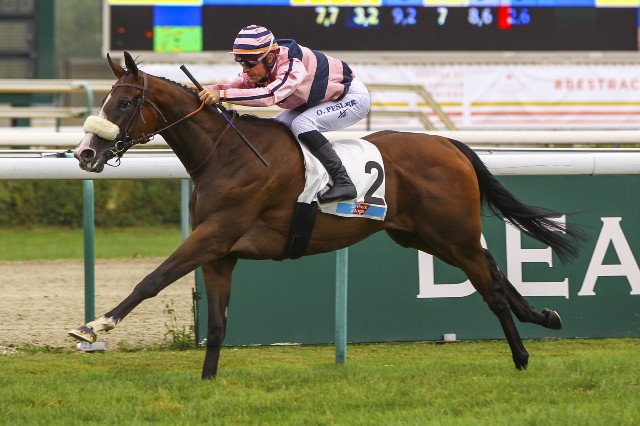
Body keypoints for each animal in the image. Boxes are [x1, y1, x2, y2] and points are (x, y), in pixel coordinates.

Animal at [69, 51, 581, 380]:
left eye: (125, 102)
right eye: (106, 100)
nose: (85, 153)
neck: (226, 154)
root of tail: (448, 144)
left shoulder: (216, 234)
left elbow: (152, 279)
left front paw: (94, 326)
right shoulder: (220, 253)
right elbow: (216, 325)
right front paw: (208, 382)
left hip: (451, 233)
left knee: (489, 287)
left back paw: (521, 356)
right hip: (425, 236)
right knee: (492, 268)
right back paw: (545, 316)